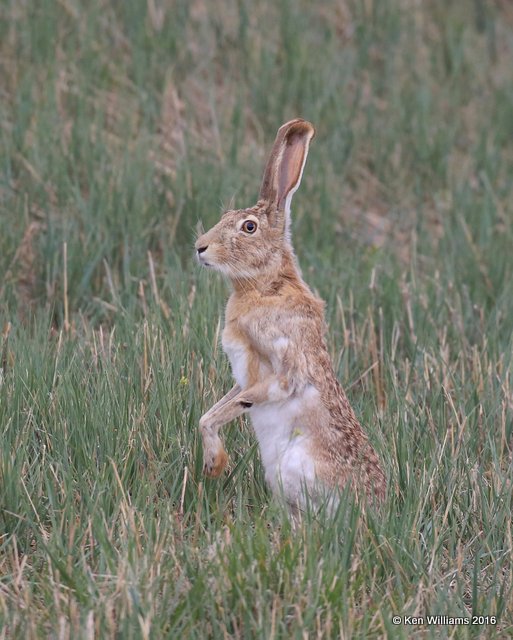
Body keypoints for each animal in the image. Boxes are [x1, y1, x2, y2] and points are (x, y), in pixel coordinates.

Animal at [196, 117, 384, 512]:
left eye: (249, 227)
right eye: (225, 216)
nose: (200, 247)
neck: (266, 284)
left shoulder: (282, 365)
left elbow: (254, 396)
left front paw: (215, 463)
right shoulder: (242, 376)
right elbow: (210, 413)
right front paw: (214, 465)